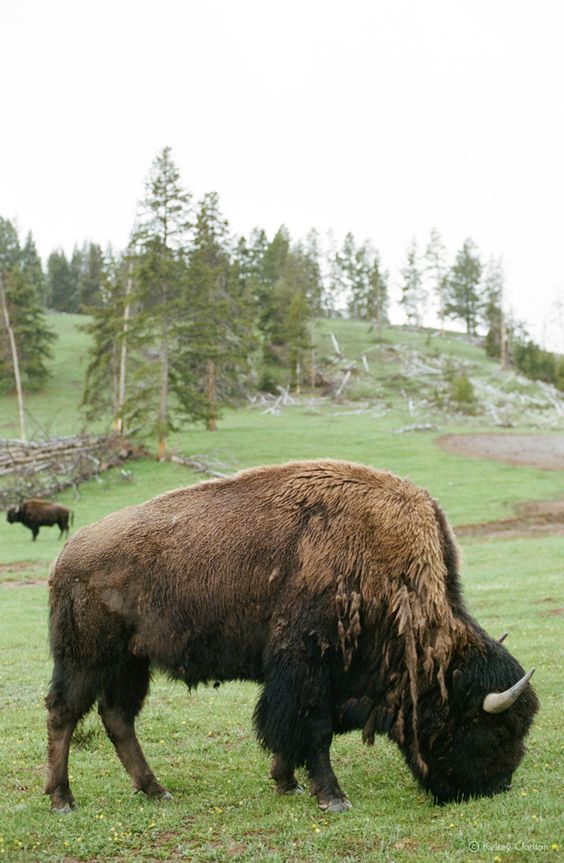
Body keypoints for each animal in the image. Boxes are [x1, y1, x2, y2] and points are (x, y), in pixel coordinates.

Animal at [45, 462, 536, 812]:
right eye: (494, 728)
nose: (499, 785)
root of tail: (68, 554)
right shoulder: (309, 666)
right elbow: (313, 731)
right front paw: (332, 798)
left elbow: (293, 733)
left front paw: (287, 783)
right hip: (86, 659)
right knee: (64, 713)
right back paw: (63, 800)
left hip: (131, 662)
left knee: (117, 718)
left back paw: (155, 790)